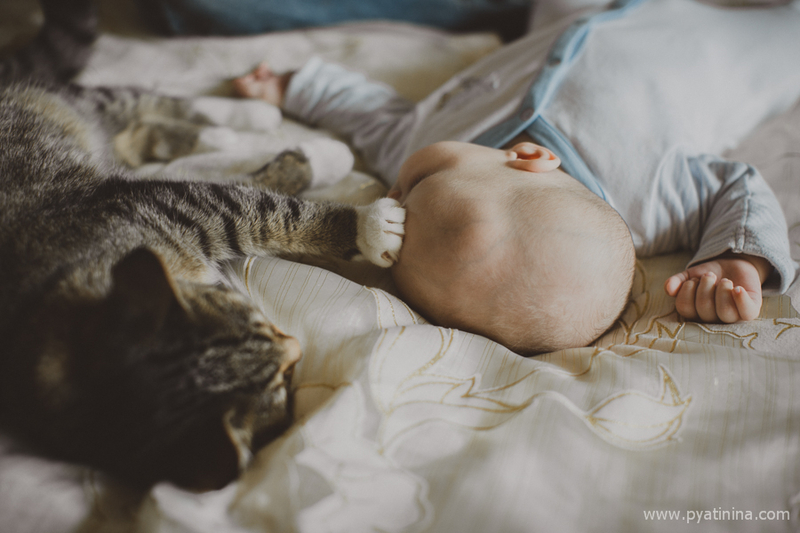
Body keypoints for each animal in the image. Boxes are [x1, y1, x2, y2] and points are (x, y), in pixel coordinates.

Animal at [0, 0, 404, 490]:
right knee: (135, 133)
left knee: (140, 102)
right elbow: (265, 204)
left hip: (83, 106)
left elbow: (257, 200)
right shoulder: (172, 203)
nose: (295, 347)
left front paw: (340, 184)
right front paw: (368, 224)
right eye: (281, 381)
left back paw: (241, 115)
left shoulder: (160, 200)